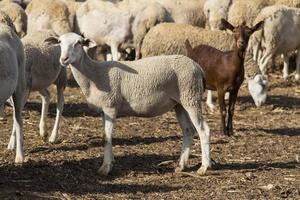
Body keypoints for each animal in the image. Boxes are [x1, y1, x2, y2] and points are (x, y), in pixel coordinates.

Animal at [45, 32, 212, 176]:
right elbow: (105, 136)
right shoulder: (103, 110)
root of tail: (198, 68)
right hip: (179, 103)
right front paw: (110, 161)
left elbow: (106, 137)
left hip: (191, 96)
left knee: (204, 130)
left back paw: (204, 168)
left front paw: (105, 168)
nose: (64, 59)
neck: (94, 75)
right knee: (188, 131)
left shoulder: (111, 106)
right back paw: (181, 165)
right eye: (59, 42)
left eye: (79, 43)